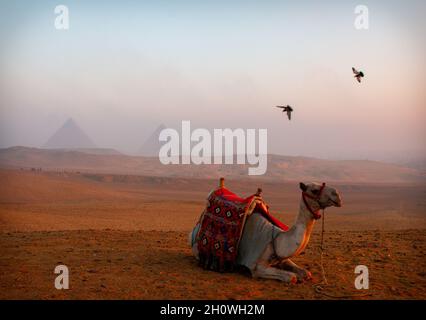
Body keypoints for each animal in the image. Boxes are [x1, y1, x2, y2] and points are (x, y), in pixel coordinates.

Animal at [190, 181, 342, 284]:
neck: (277, 239)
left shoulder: (282, 258)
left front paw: (303, 274)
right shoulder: (257, 267)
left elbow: (306, 273)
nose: (337, 195)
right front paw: (295, 277)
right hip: (197, 249)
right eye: (314, 190)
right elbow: (291, 277)